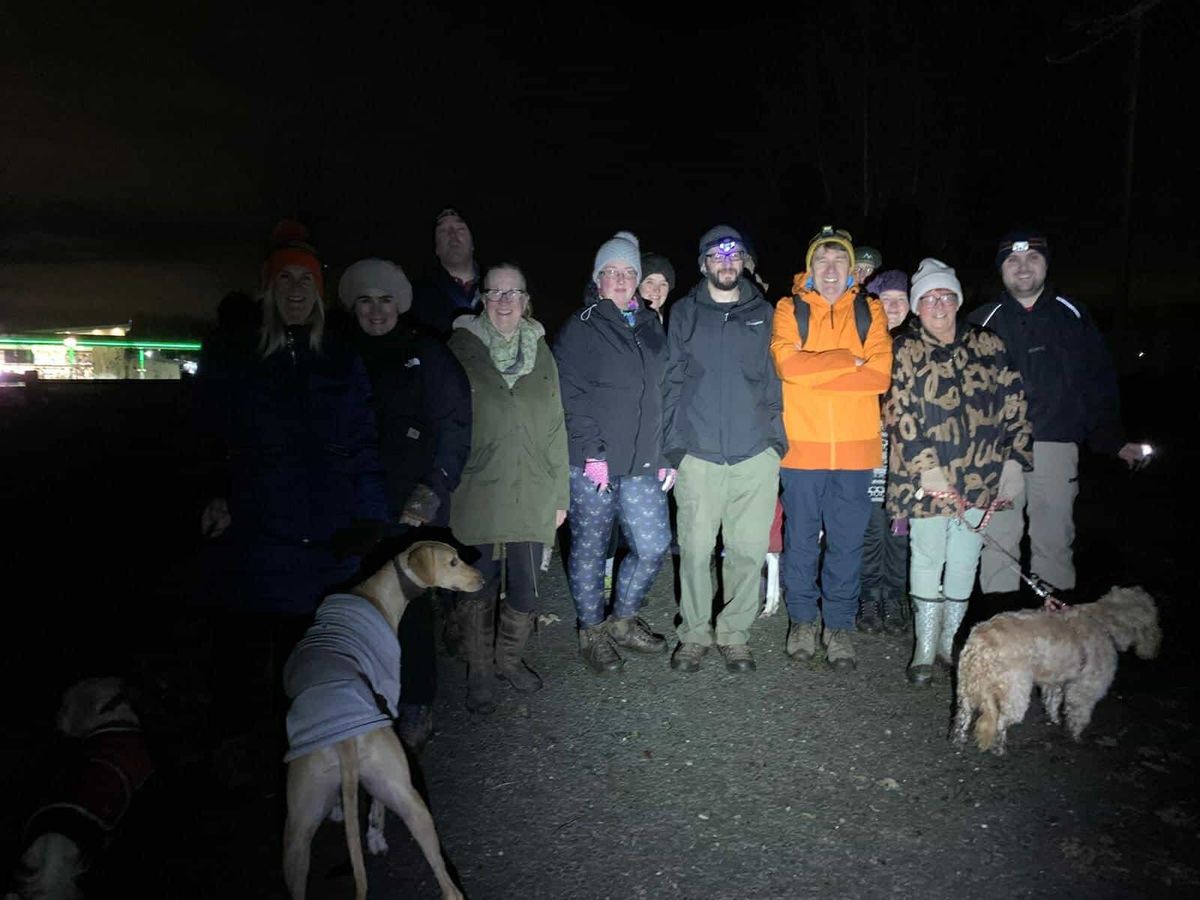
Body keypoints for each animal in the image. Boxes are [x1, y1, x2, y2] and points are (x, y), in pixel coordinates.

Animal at [950, 588, 1156, 758]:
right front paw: (1076, 736)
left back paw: (958, 741)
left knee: (963, 717)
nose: (1153, 651)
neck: (1104, 620)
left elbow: (1053, 701)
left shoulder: (1054, 681)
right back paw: (998, 748)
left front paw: (1055, 720)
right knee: (1001, 722)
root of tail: (981, 642)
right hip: (1015, 694)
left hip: (966, 688)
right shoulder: (1085, 689)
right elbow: (1079, 714)